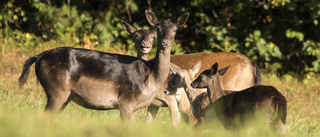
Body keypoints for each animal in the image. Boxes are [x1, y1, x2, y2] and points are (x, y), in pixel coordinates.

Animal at [18, 9, 190, 121]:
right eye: (158, 29)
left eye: (175, 29)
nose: (165, 42)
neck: (149, 80)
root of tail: (39, 57)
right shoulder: (126, 101)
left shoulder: (137, 106)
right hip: (56, 90)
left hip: (65, 96)